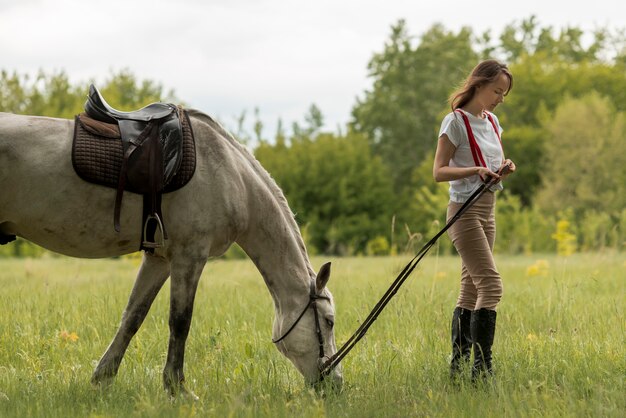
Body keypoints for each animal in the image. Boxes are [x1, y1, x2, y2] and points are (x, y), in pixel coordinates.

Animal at [0, 109, 342, 396]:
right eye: (329, 322)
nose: (335, 383)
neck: (230, 175)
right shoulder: (190, 256)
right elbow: (180, 321)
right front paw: (177, 388)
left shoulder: (159, 260)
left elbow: (133, 316)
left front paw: (103, 379)